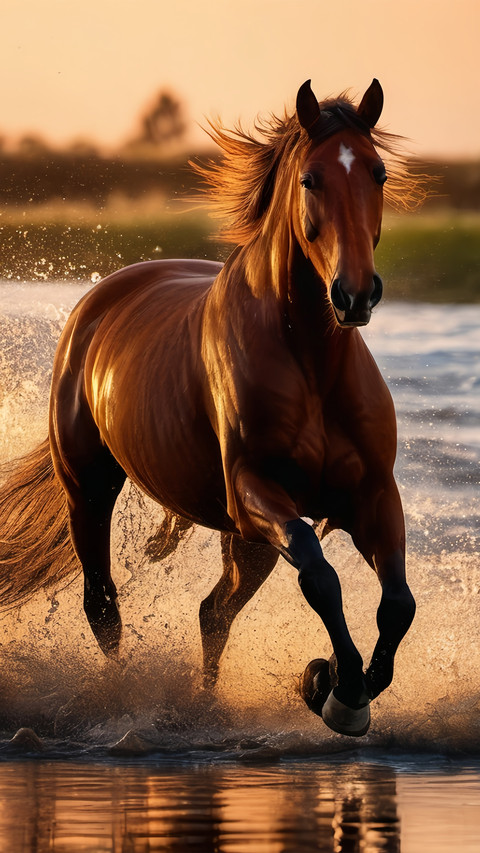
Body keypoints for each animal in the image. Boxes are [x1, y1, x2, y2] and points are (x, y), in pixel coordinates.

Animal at [0, 79, 421, 737]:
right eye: (311, 180)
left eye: (377, 173)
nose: (355, 294)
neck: (312, 365)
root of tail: (98, 302)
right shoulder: (255, 493)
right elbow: (321, 577)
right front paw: (338, 688)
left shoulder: (372, 495)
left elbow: (397, 603)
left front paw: (331, 684)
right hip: (90, 487)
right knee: (104, 606)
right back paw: (125, 697)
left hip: (246, 542)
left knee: (212, 612)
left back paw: (207, 705)